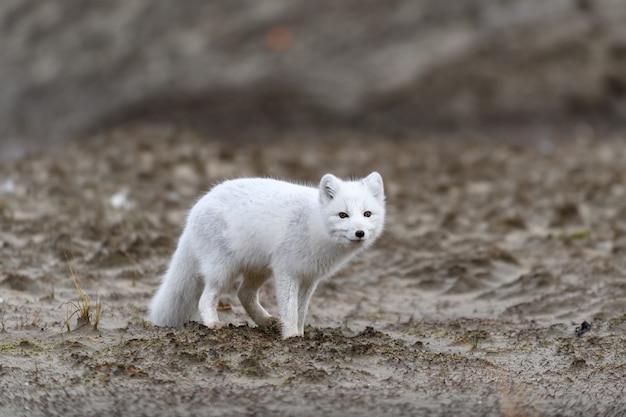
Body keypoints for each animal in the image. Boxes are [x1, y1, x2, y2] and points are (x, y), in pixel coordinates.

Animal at [150, 171, 386, 338]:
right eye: (343, 215)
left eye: (367, 214)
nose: (360, 233)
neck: (315, 226)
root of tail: (195, 210)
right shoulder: (286, 271)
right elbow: (290, 310)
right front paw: (291, 337)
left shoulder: (310, 278)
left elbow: (301, 311)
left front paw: (300, 334)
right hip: (224, 269)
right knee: (206, 298)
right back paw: (214, 323)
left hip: (259, 270)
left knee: (244, 294)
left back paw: (265, 321)